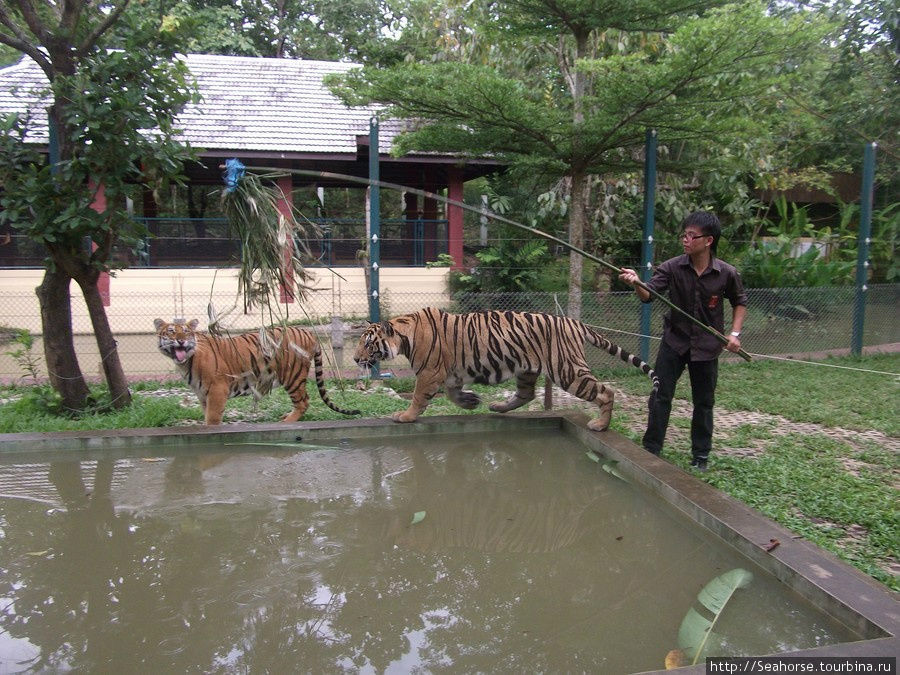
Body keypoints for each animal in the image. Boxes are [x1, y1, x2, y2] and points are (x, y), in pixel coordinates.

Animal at [154, 320, 358, 426]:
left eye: (186, 332)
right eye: (171, 332)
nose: (181, 341)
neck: (186, 362)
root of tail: (309, 333)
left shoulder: (217, 390)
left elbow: (212, 418)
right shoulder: (203, 394)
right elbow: (206, 415)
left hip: (292, 375)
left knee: (303, 401)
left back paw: (287, 421)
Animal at [354, 308, 660, 434]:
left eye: (368, 344)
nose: (356, 359)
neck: (405, 334)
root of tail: (575, 322)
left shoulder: (430, 373)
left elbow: (418, 398)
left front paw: (404, 417)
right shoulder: (450, 373)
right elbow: (453, 394)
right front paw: (471, 402)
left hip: (567, 370)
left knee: (606, 391)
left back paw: (600, 425)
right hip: (527, 369)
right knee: (526, 395)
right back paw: (497, 407)